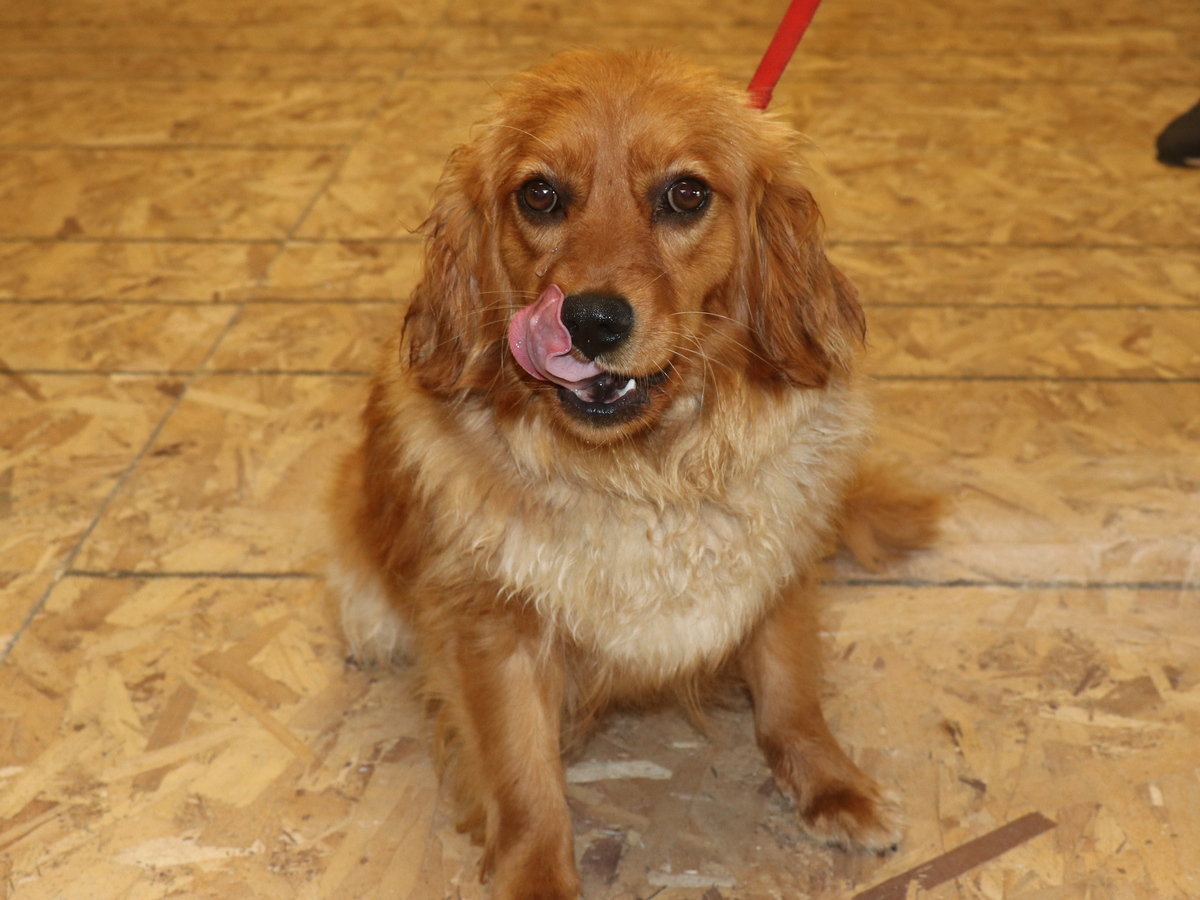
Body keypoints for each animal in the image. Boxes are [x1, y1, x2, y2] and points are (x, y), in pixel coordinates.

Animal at [330, 49, 939, 898]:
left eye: (685, 194)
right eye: (540, 194)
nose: (589, 320)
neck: (648, 472)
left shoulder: (779, 572)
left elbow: (791, 698)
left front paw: (833, 786)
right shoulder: (494, 629)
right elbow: (526, 785)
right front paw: (538, 879)